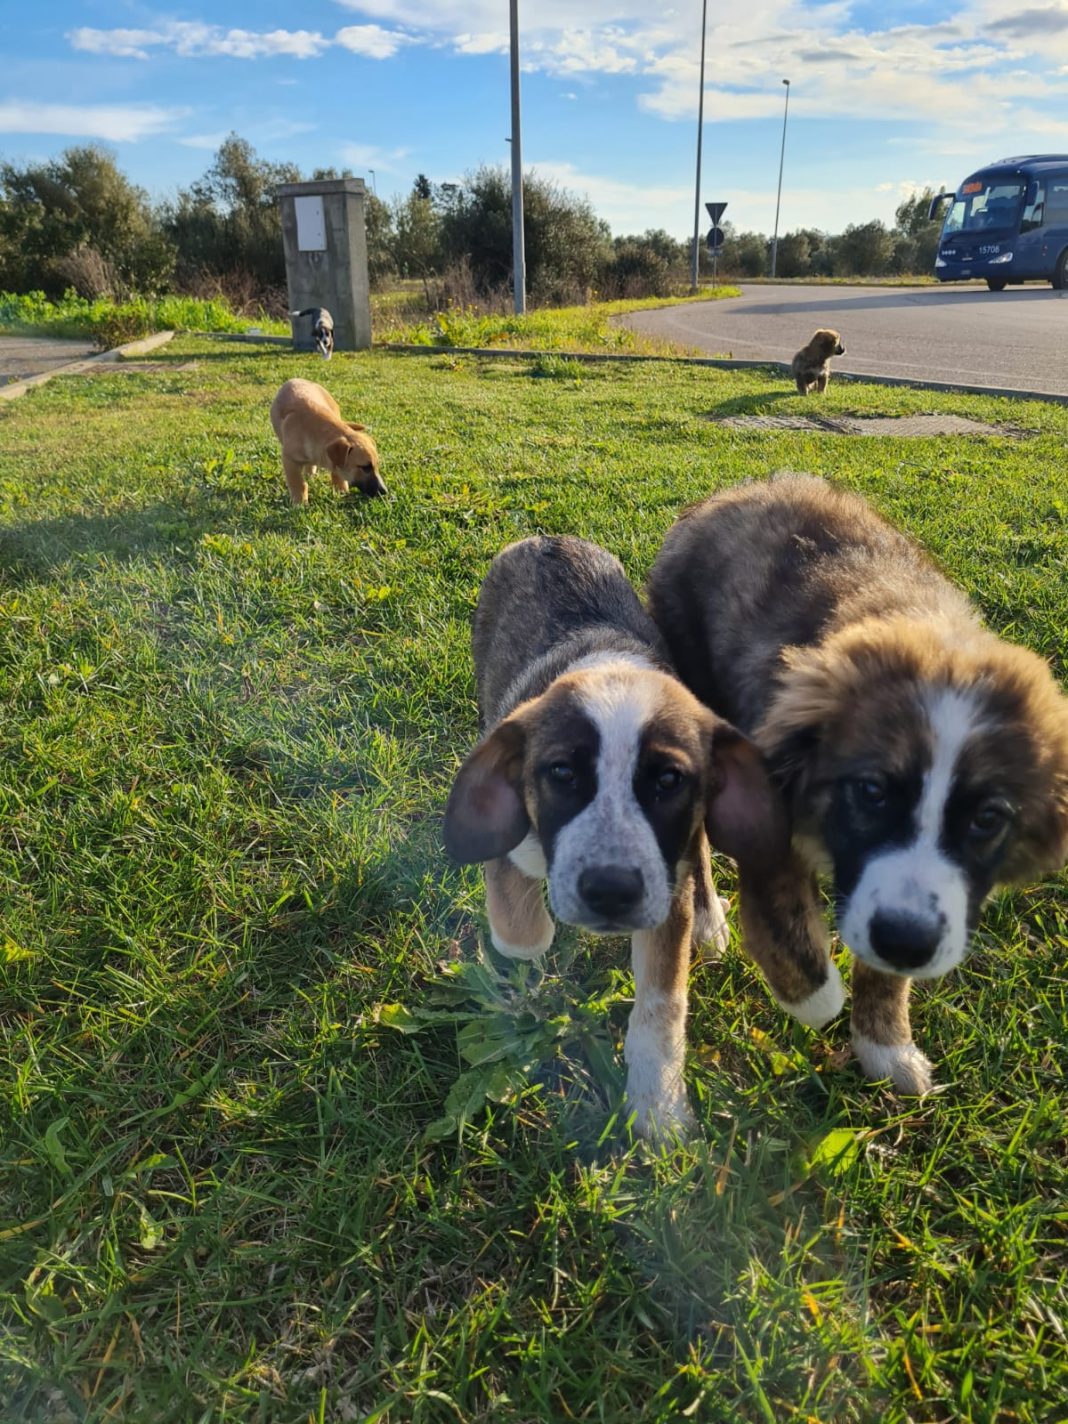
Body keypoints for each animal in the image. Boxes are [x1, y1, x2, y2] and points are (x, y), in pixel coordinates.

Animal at [269, 378, 387, 506]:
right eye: (365, 467)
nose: (384, 491)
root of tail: (295, 379)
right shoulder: (289, 460)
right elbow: (299, 483)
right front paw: (300, 502)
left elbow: (336, 472)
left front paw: (341, 491)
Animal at [444, 538, 786, 1139]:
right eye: (561, 773)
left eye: (668, 781)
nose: (610, 891)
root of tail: (545, 537)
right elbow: (522, 933)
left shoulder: (665, 890)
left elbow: (661, 1008)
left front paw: (658, 1110)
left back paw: (709, 919)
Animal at [649, 475, 1068, 1087]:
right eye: (871, 792)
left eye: (988, 819)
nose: (905, 942)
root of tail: (734, 491)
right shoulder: (766, 814)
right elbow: (786, 918)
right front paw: (815, 997)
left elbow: (887, 967)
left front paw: (885, 1044)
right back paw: (705, 918)